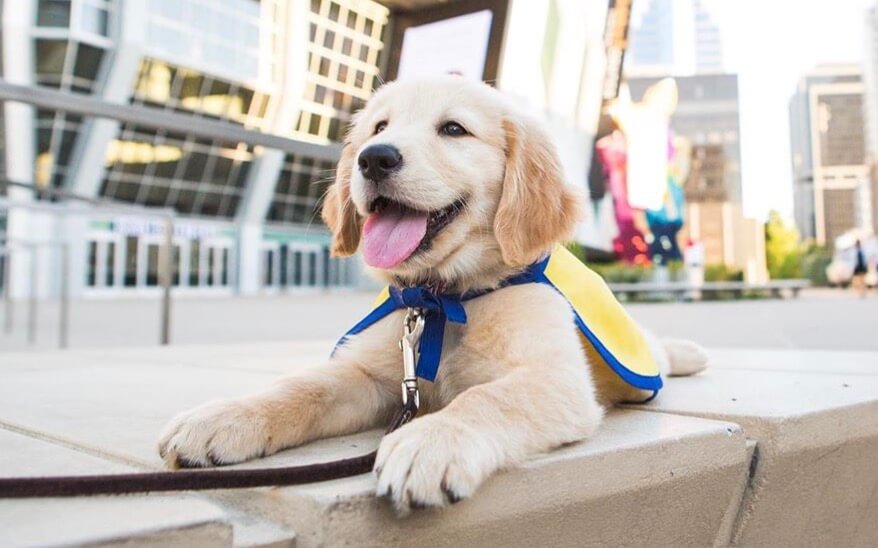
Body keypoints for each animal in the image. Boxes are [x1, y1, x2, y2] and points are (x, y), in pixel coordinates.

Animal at [158, 76, 708, 512]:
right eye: (378, 128)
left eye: (454, 130)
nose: (373, 159)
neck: (442, 297)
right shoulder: (370, 376)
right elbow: (301, 387)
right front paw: (226, 416)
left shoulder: (556, 380)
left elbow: (486, 398)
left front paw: (432, 441)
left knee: (655, 350)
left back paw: (690, 352)